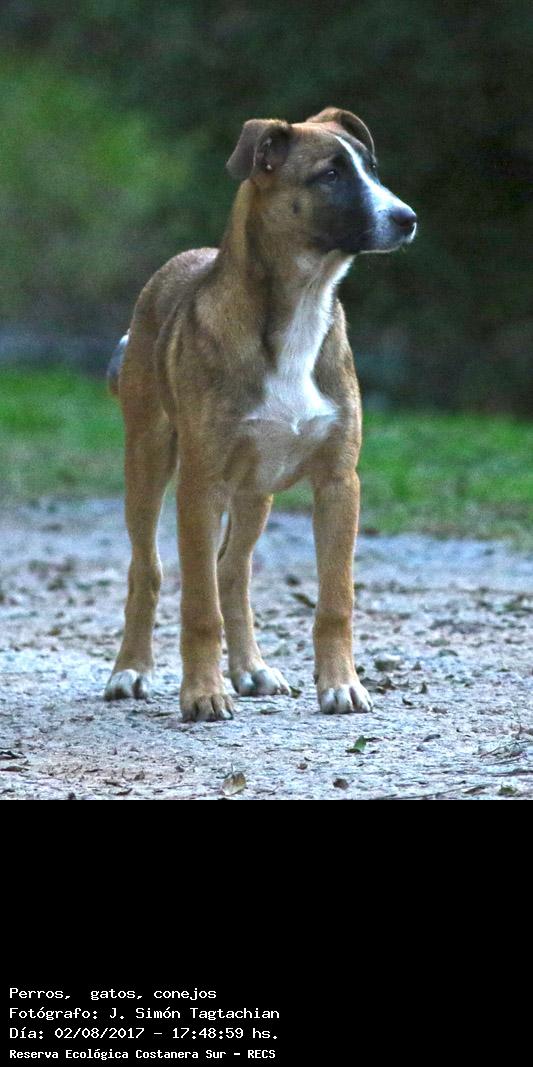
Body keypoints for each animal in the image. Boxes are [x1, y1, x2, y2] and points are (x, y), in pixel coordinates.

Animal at [104, 107, 416, 721]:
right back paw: (131, 670)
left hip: (255, 490)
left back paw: (251, 669)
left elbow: (335, 599)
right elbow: (198, 605)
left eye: (370, 167)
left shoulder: (339, 482)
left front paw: (341, 684)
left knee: (233, 570)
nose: (407, 219)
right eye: (330, 174)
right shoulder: (201, 485)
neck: (298, 312)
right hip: (149, 460)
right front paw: (203, 693)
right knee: (148, 569)